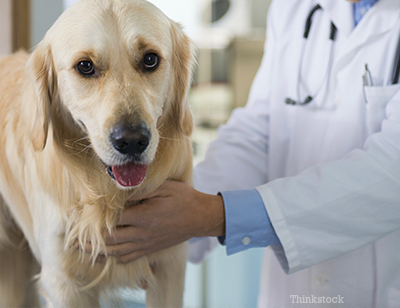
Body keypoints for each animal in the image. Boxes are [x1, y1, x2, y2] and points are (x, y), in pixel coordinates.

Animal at [0, 0, 195, 306]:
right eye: (85, 66)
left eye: (150, 59)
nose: (132, 141)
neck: (110, 197)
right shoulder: (63, 280)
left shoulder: (170, 265)